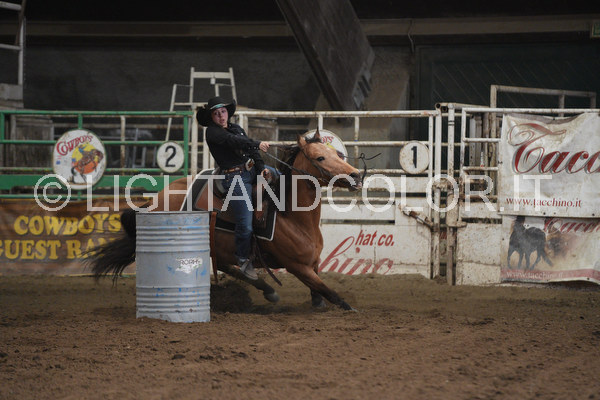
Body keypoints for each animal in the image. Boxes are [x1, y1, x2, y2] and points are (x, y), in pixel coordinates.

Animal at [86, 131, 363, 311]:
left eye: (338, 154)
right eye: (320, 158)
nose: (356, 175)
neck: (290, 215)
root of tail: (158, 199)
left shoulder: (312, 264)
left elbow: (319, 291)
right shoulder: (297, 266)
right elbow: (331, 292)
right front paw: (349, 308)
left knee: (230, 266)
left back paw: (266, 289)